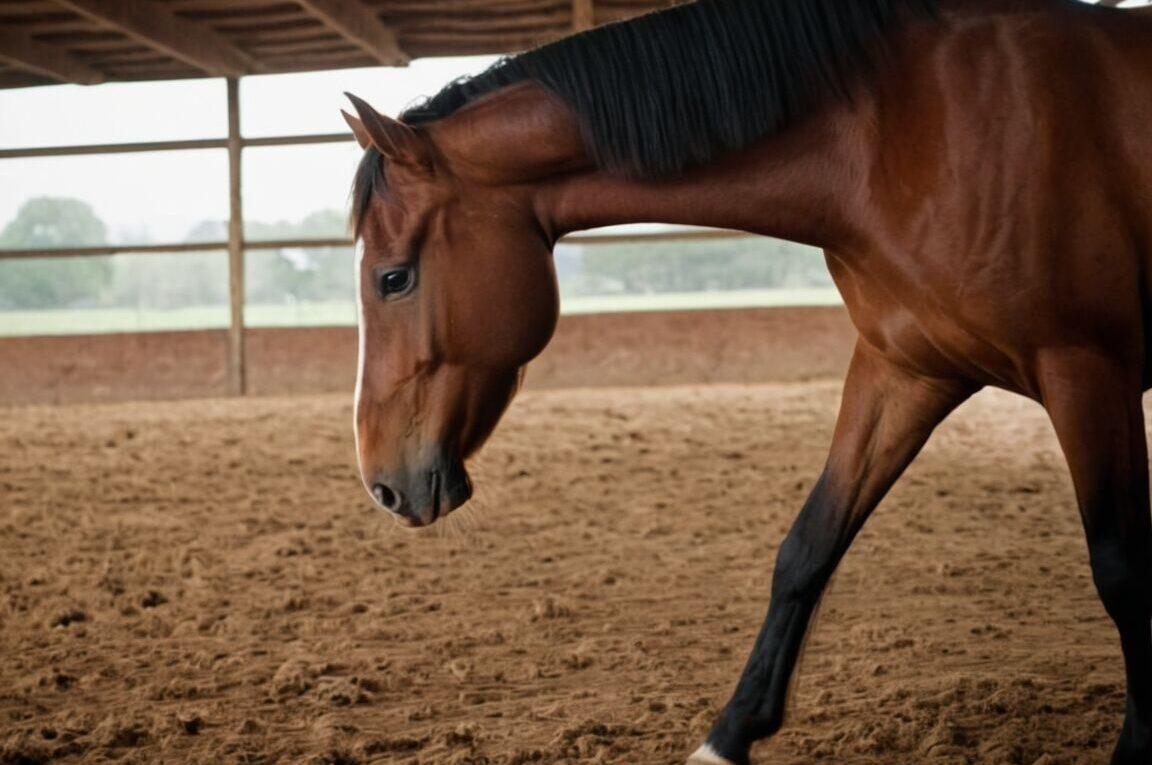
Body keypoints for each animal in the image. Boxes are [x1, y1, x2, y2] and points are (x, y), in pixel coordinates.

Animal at [341, 0, 1152, 762]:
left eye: (394, 278)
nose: (383, 486)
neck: (905, 134)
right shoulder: (905, 371)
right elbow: (808, 545)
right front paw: (728, 734)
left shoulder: (1087, 371)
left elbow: (1120, 567)